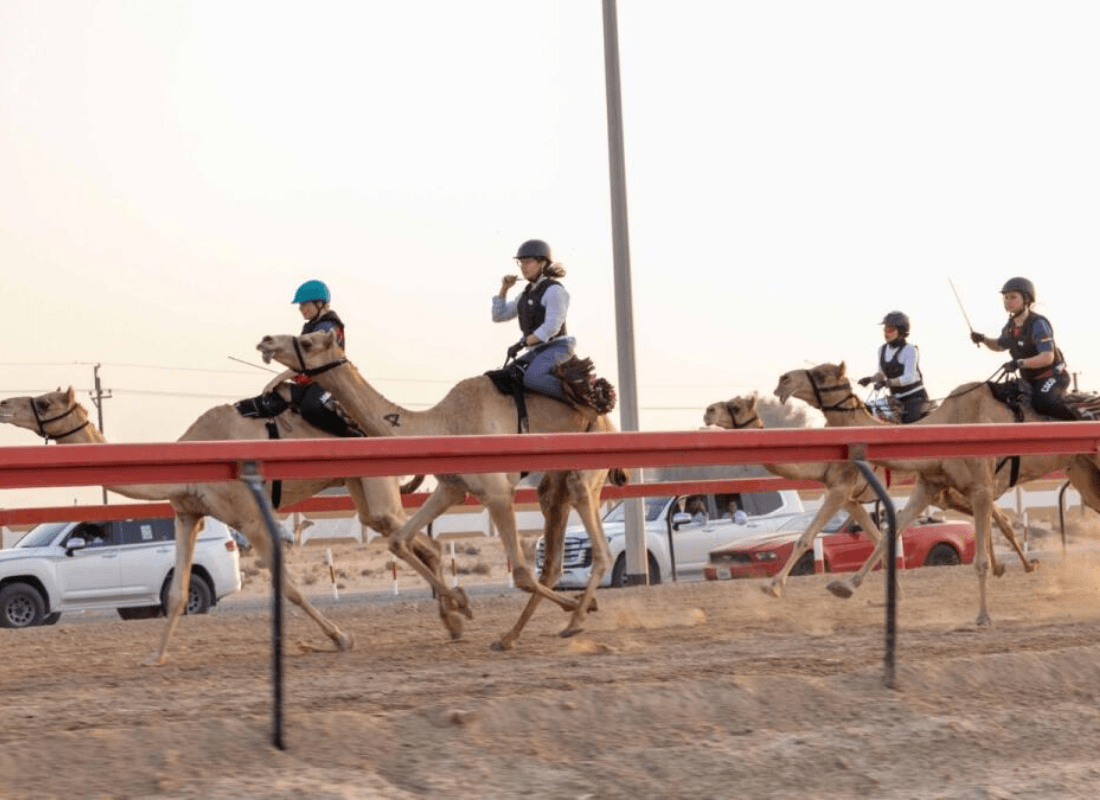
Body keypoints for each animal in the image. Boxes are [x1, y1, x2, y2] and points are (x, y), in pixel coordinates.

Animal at [0, 387, 455, 664]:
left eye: (45, 402)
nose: (5, 404)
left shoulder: (250, 517)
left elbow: (287, 586)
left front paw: (340, 638)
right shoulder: (188, 514)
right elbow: (177, 593)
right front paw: (155, 656)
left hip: (374, 480)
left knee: (404, 536)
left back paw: (457, 609)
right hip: (359, 484)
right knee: (411, 539)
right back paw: (453, 617)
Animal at [251, 332, 624, 651]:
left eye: (307, 341)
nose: (266, 340)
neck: (442, 423)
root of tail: (608, 417)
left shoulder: (497, 492)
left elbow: (519, 574)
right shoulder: (451, 488)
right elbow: (399, 541)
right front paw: (462, 604)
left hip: (584, 470)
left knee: (596, 544)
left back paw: (573, 620)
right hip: (553, 483)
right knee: (555, 557)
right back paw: (520, 633)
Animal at [704, 393, 1029, 598]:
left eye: (734, 406)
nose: (708, 411)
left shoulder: (839, 490)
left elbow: (804, 538)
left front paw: (772, 586)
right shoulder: (851, 500)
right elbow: (876, 537)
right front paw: (893, 589)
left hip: (947, 488)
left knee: (994, 513)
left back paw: (1021, 565)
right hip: (945, 489)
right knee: (990, 512)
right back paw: (1005, 566)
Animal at [774, 360, 1100, 629]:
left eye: (821, 374)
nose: (782, 380)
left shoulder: (980, 487)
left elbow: (978, 560)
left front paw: (983, 616)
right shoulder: (927, 486)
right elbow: (887, 535)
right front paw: (846, 585)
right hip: (1081, 471)